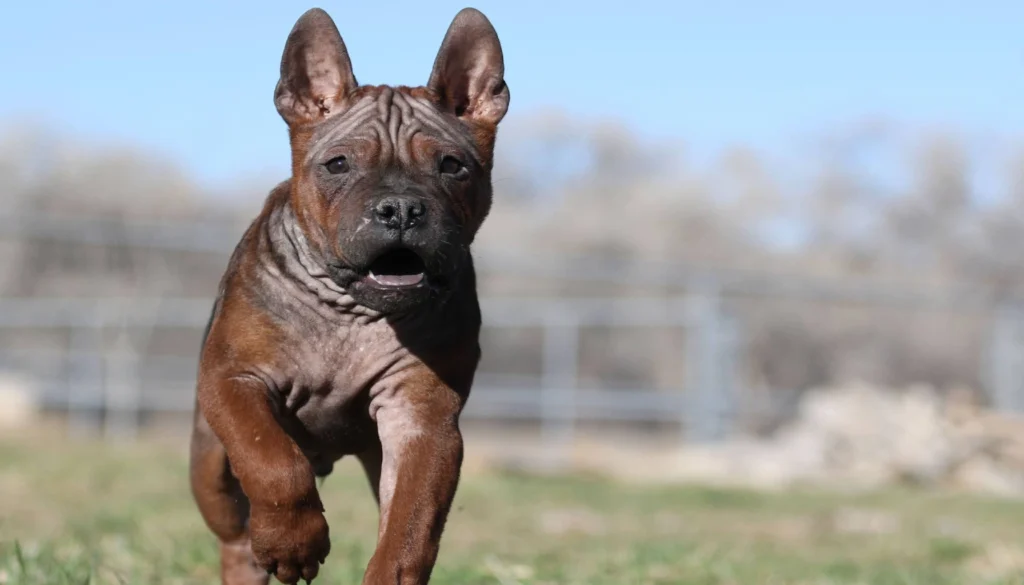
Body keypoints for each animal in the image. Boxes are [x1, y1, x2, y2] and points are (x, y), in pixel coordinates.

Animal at [188, 6, 507, 581]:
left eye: (451, 165)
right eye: (338, 164)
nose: (400, 209)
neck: (351, 310)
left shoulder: (422, 420)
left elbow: (408, 528)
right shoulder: (234, 379)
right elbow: (271, 459)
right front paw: (294, 542)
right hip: (210, 468)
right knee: (236, 533)